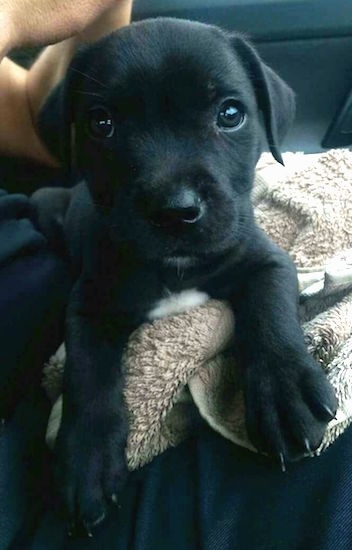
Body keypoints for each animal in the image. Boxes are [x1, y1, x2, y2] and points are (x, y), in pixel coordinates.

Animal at [33, 19, 338, 536]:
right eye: (101, 123)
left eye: (230, 114)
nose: (175, 211)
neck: (173, 268)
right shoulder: (88, 303)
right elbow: (88, 373)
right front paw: (87, 458)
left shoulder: (266, 260)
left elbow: (271, 314)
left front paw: (284, 391)